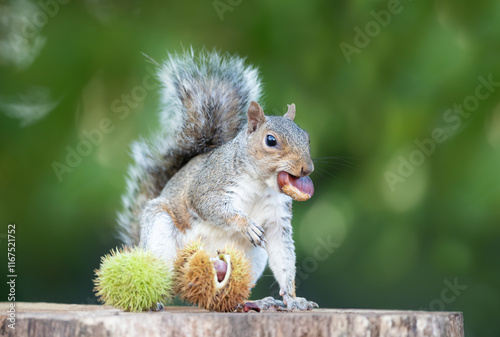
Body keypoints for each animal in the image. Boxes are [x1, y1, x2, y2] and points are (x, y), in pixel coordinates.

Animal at [118, 50, 316, 310]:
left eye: (307, 137)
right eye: (271, 140)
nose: (307, 168)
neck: (261, 184)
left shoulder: (276, 220)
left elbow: (283, 257)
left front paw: (293, 299)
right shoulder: (209, 183)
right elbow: (209, 205)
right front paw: (244, 223)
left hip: (253, 256)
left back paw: (250, 302)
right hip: (160, 231)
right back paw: (154, 300)